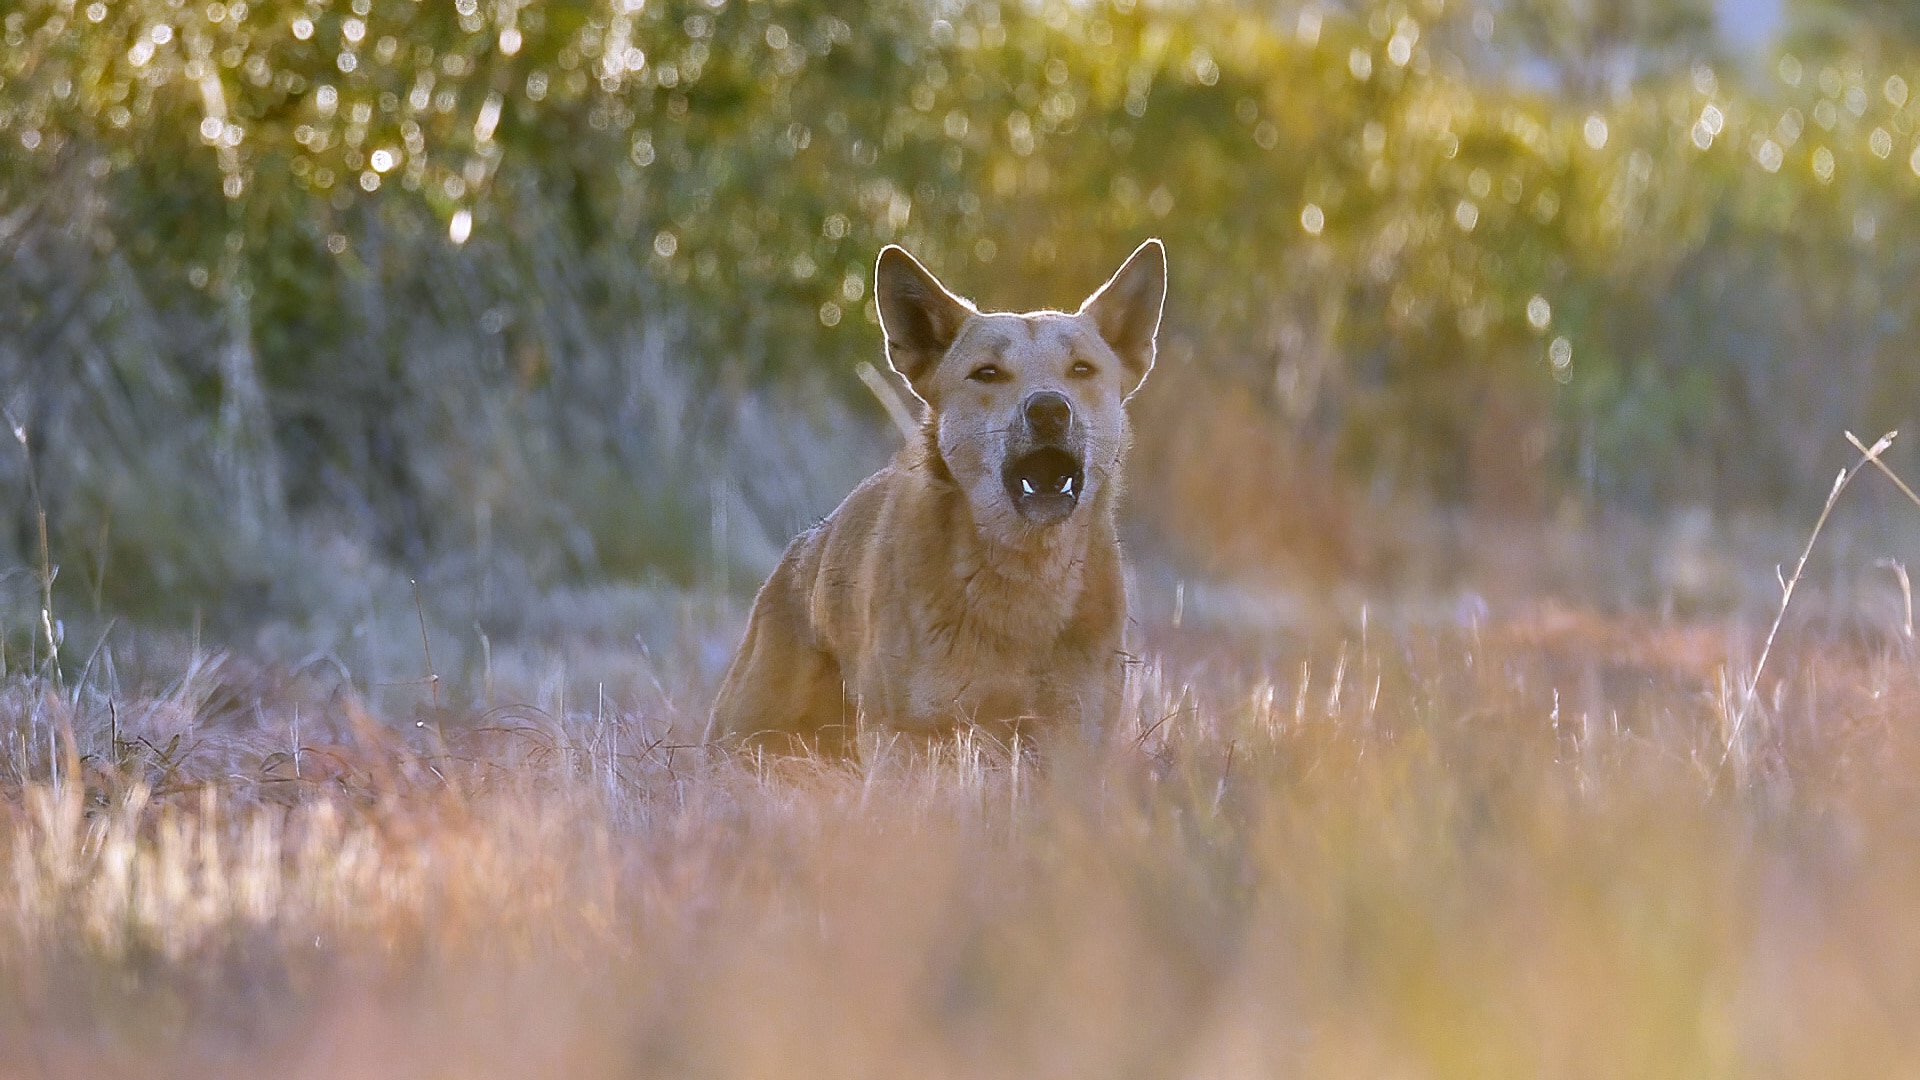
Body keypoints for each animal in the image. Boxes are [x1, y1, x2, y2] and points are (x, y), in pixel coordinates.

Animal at [702, 240, 1152, 753]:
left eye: (1081, 370)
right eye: (987, 373)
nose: (1049, 408)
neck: (1023, 578)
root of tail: (798, 554)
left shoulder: (1077, 731)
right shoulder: (905, 733)